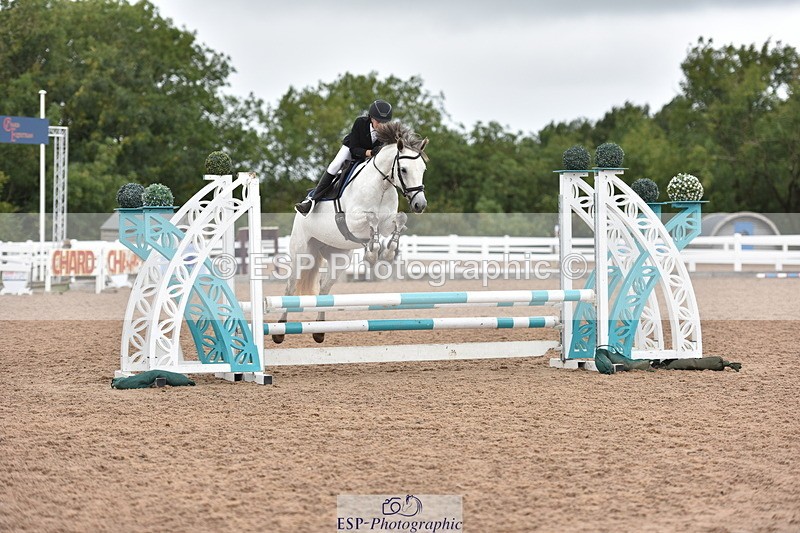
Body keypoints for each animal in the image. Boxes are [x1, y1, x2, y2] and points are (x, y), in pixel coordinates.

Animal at [272, 122, 429, 344]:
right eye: (404, 169)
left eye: (423, 169)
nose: (419, 204)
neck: (381, 186)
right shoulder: (352, 221)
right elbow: (372, 220)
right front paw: (372, 253)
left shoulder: (388, 222)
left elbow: (399, 221)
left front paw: (388, 252)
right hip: (302, 252)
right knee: (291, 286)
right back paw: (279, 331)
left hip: (339, 257)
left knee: (324, 288)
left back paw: (319, 331)